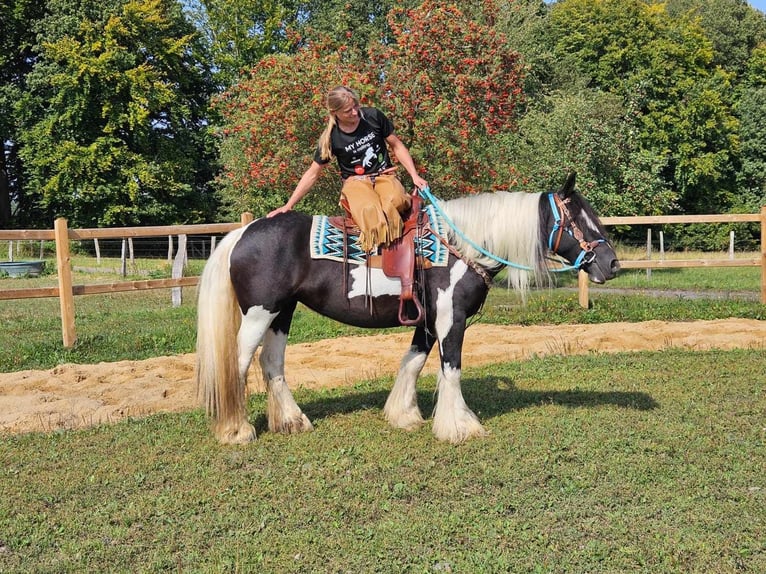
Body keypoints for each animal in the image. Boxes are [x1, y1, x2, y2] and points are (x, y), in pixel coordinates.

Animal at [195, 173, 620, 448]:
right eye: (578, 220)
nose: (612, 264)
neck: (459, 245)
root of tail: (243, 233)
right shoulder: (451, 318)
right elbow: (451, 367)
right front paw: (459, 426)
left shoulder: (428, 320)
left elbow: (413, 361)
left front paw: (404, 415)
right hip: (259, 312)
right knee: (238, 365)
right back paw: (237, 431)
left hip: (281, 313)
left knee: (272, 363)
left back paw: (291, 422)